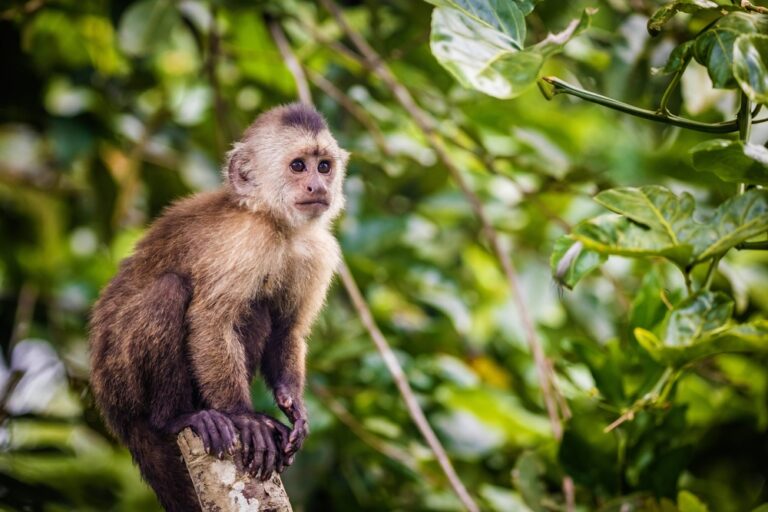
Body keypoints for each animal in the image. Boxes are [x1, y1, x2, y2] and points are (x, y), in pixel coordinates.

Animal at [88, 103, 349, 511]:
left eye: (324, 166)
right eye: (298, 166)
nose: (317, 187)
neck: (274, 223)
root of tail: (114, 413)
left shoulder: (317, 252)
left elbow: (287, 330)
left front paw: (294, 407)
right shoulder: (246, 243)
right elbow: (211, 321)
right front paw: (244, 417)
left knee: (259, 310)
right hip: (121, 380)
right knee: (170, 291)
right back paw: (179, 417)